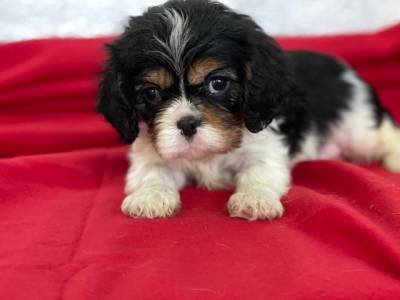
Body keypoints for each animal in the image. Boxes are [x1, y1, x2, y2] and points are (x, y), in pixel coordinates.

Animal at [97, 0, 400, 220]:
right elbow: (153, 171)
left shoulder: (267, 147)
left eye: (218, 83)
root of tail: (344, 67)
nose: (187, 124)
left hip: (359, 130)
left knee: (385, 135)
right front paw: (150, 196)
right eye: (151, 93)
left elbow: (258, 172)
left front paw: (254, 199)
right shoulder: (149, 151)